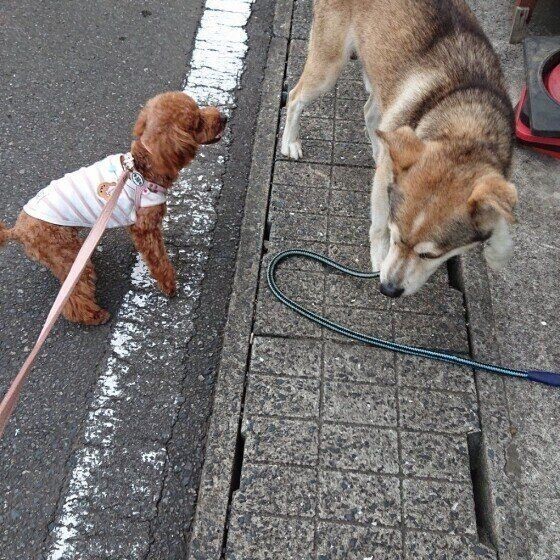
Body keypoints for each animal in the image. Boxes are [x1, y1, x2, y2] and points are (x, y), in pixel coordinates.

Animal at [282, 0, 520, 298]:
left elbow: (501, 221)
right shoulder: (387, 185)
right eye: (396, 237)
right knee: (295, 97)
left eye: (429, 255)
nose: (388, 289)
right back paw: (290, 141)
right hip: (329, 65)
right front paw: (378, 258)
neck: (465, 130)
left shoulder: (498, 179)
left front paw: (498, 252)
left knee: (371, 114)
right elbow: (378, 225)